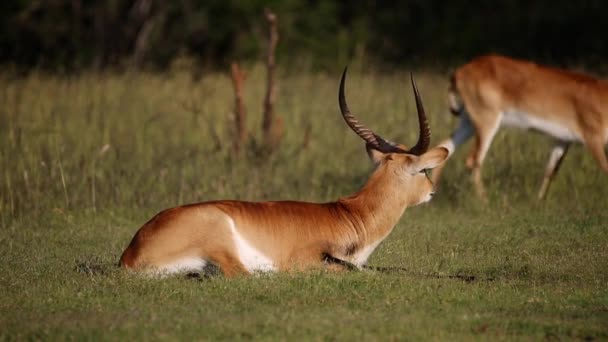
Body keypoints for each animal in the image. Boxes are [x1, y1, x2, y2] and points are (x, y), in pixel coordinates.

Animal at [119, 70, 448, 278]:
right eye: (424, 169)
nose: (433, 191)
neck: (350, 216)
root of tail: (131, 254)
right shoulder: (309, 260)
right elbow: (355, 270)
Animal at [432, 54, 608, 199]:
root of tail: (459, 72)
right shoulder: (594, 139)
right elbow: (606, 168)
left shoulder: (563, 140)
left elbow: (550, 171)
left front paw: (538, 203)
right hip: (487, 122)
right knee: (473, 160)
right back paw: (485, 202)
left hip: (468, 122)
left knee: (445, 147)